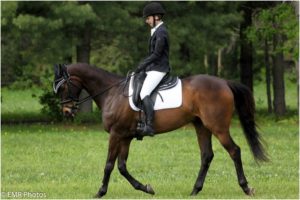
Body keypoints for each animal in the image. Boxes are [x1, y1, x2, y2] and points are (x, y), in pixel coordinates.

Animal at [52, 63, 268, 198]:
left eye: (62, 88)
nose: (67, 111)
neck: (112, 92)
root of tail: (224, 83)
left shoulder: (116, 134)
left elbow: (109, 165)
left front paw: (100, 192)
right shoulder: (125, 137)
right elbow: (122, 166)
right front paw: (146, 188)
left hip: (218, 127)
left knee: (234, 151)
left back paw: (246, 188)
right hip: (202, 126)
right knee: (207, 155)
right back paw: (195, 190)